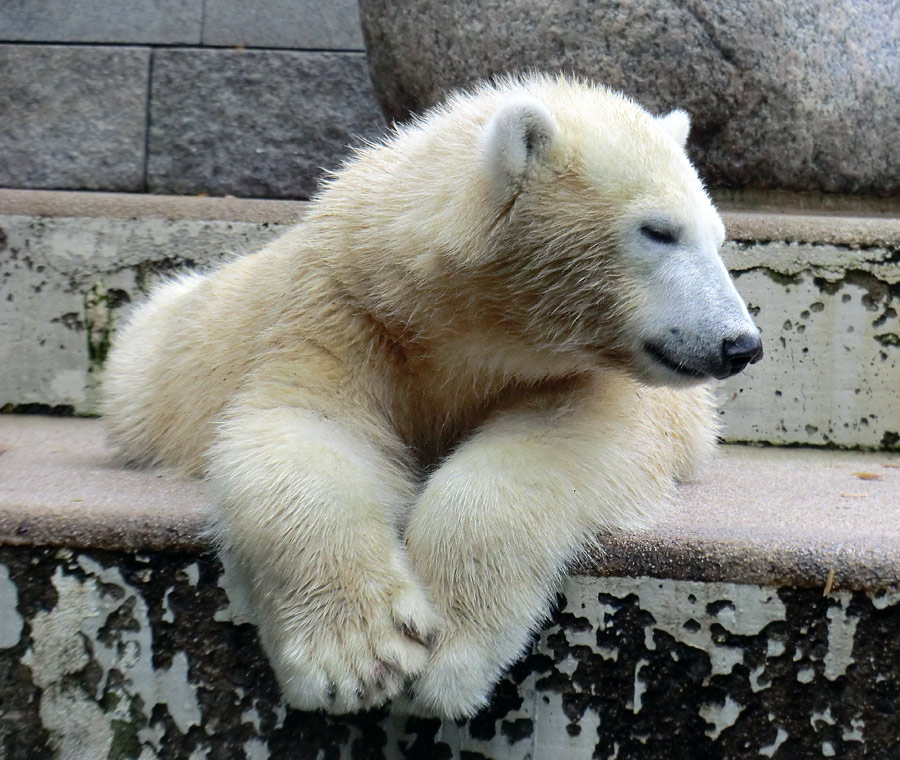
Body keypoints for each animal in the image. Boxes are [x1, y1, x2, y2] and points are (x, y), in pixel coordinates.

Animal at [103, 72, 760, 720]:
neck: (460, 322)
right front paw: (360, 657)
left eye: (719, 237)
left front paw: (448, 652)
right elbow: (305, 430)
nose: (741, 344)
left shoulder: (593, 381)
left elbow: (563, 438)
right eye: (659, 231)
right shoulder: (345, 312)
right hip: (154, 358)